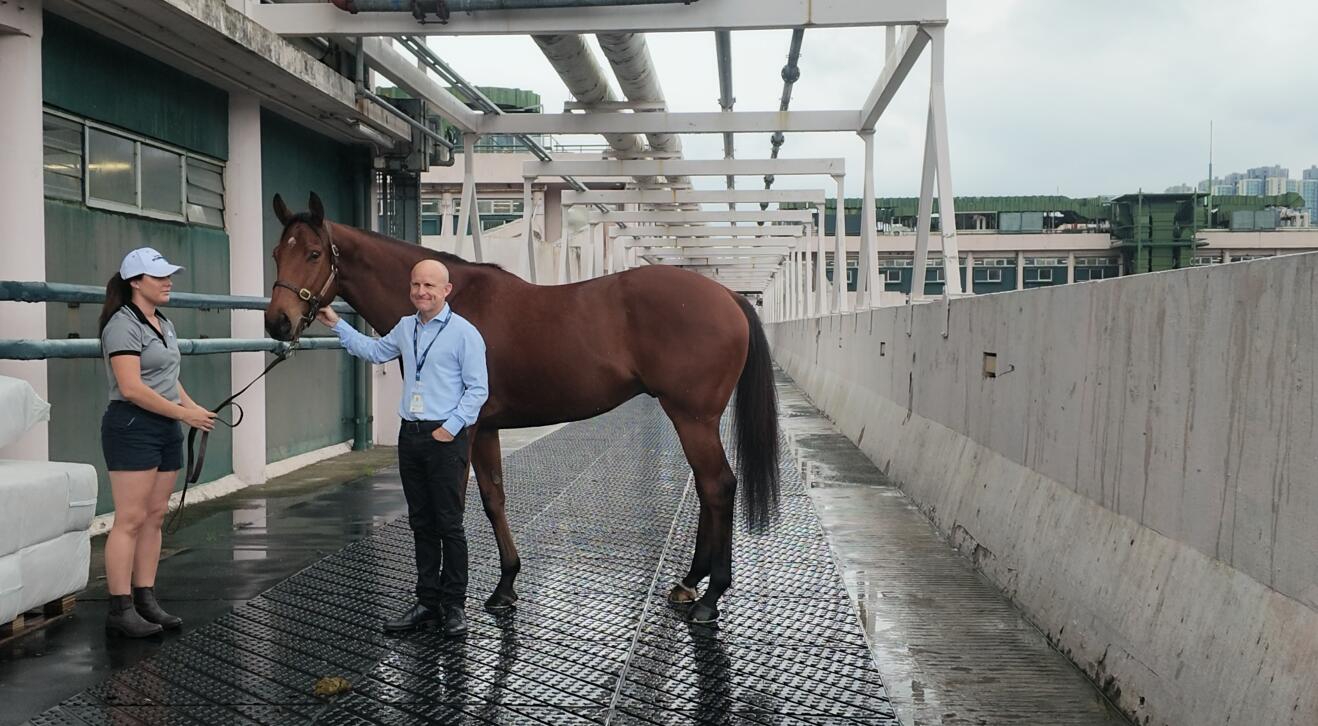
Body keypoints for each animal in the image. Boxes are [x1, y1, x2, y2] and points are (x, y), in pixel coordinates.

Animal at [264, 192, 779, 623]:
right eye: (276, 253)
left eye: (313, 254)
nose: (277, 321)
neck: (454, 305)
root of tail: (727, 296)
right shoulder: (486, 428)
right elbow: (494, 498)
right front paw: (505, 585)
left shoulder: (462, 429)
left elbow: (457, 504)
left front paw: (457, 597)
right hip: (693, 419)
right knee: (708, 488)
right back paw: (690, 582)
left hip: (693, 417)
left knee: (718, 486)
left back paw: (711, 597)